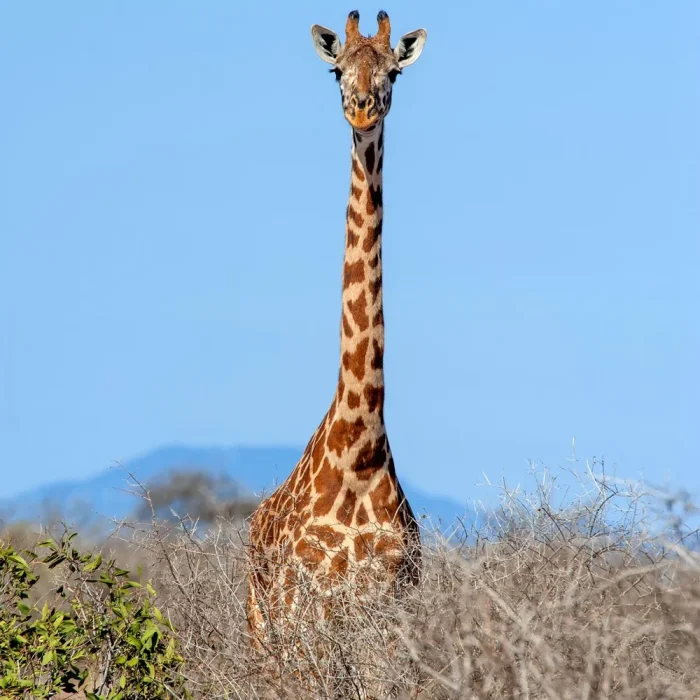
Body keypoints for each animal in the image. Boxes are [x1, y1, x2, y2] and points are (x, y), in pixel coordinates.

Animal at [247, 10, 427, 647]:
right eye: (336, 70)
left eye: (394, 71)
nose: (363, 110)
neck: (360, 446)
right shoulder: (307, 612)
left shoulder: (390, 614)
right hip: (262, 628)